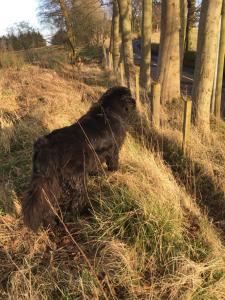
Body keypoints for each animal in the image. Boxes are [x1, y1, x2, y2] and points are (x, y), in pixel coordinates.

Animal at [22, 85, 135, 231]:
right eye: (130, 96)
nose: (135, 102)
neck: (108, 110)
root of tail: (46, 146)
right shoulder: (113, 150)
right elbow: (113, 163)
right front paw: (114, 172)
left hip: (50, 183)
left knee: (48, 205)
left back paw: (51, 225)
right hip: (77, 179)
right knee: (74, 202)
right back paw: (83, 213)